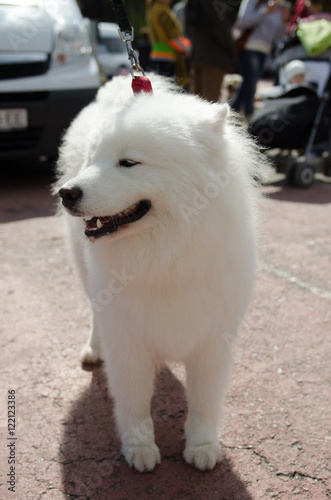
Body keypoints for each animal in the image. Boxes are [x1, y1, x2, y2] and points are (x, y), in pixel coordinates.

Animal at [55, 74, 264, 472]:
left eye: (129, 162)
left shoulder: (213, 342)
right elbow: (134, 403)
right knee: (93, 313)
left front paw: (202, 447)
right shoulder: (127, 341)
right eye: (94, 159)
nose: (67, 193)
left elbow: (204, 402)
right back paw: (93, 349)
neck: (166, 256)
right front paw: (139, 449)